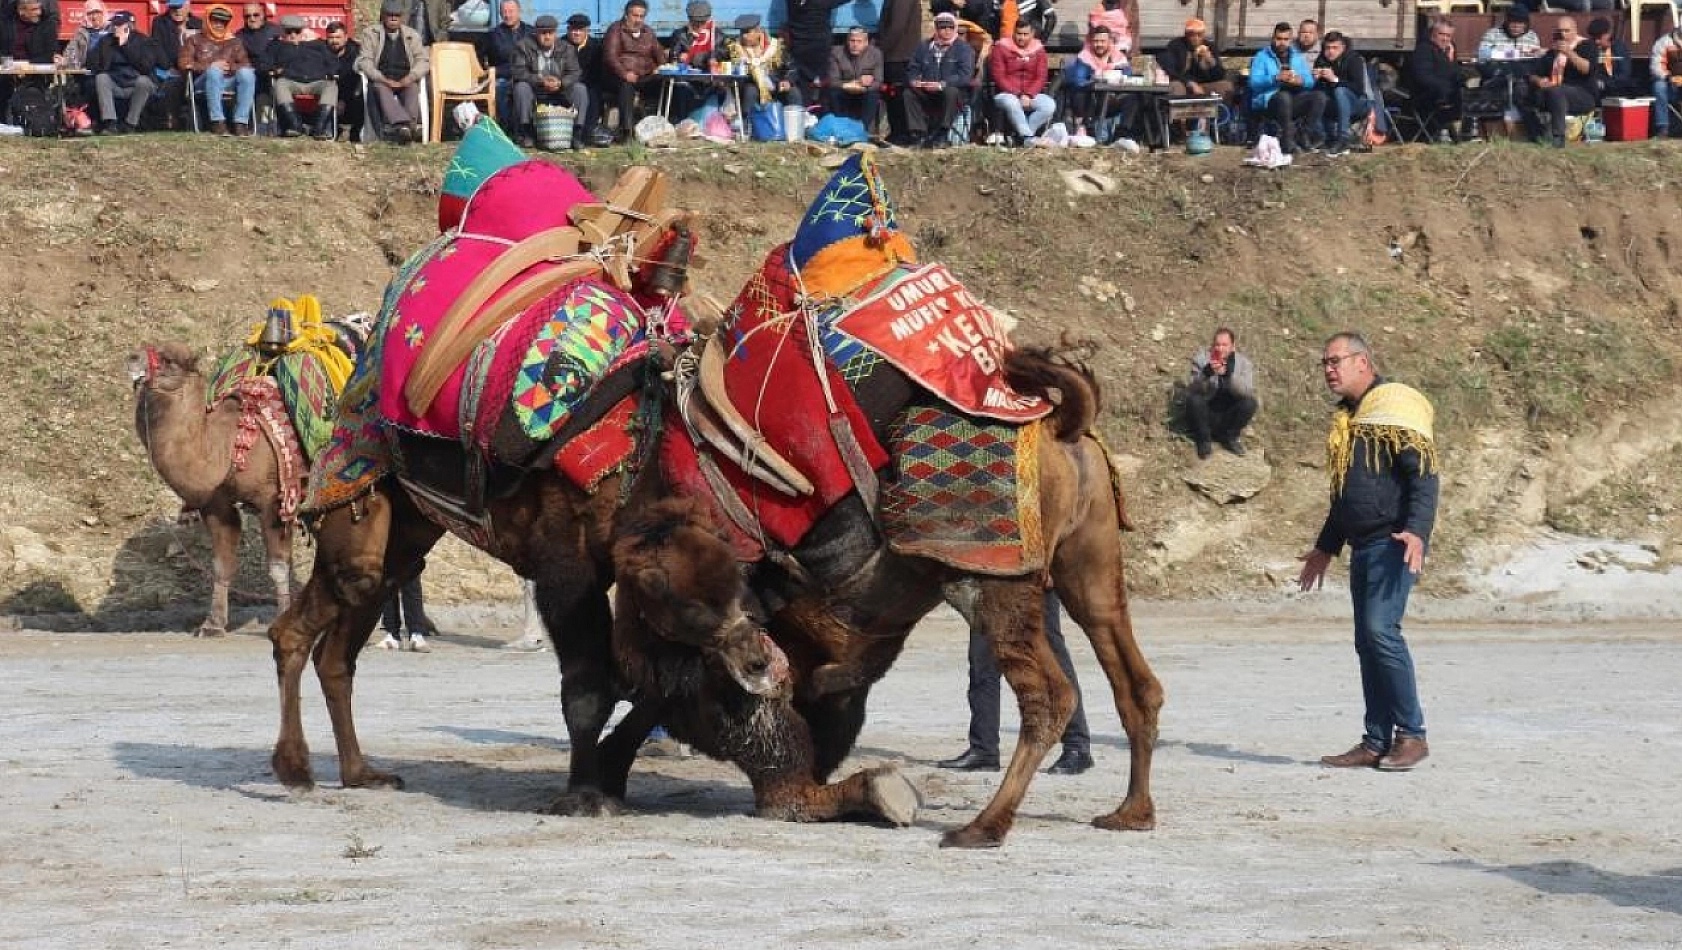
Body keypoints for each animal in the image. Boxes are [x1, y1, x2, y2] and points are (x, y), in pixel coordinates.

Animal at [129, 343, 297, 635]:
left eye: (169, 360)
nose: (133, 358)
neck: (227, 445)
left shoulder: (273, 499)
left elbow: (277, 566)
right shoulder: (216, 504)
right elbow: (221, 565)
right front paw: (212, 624)